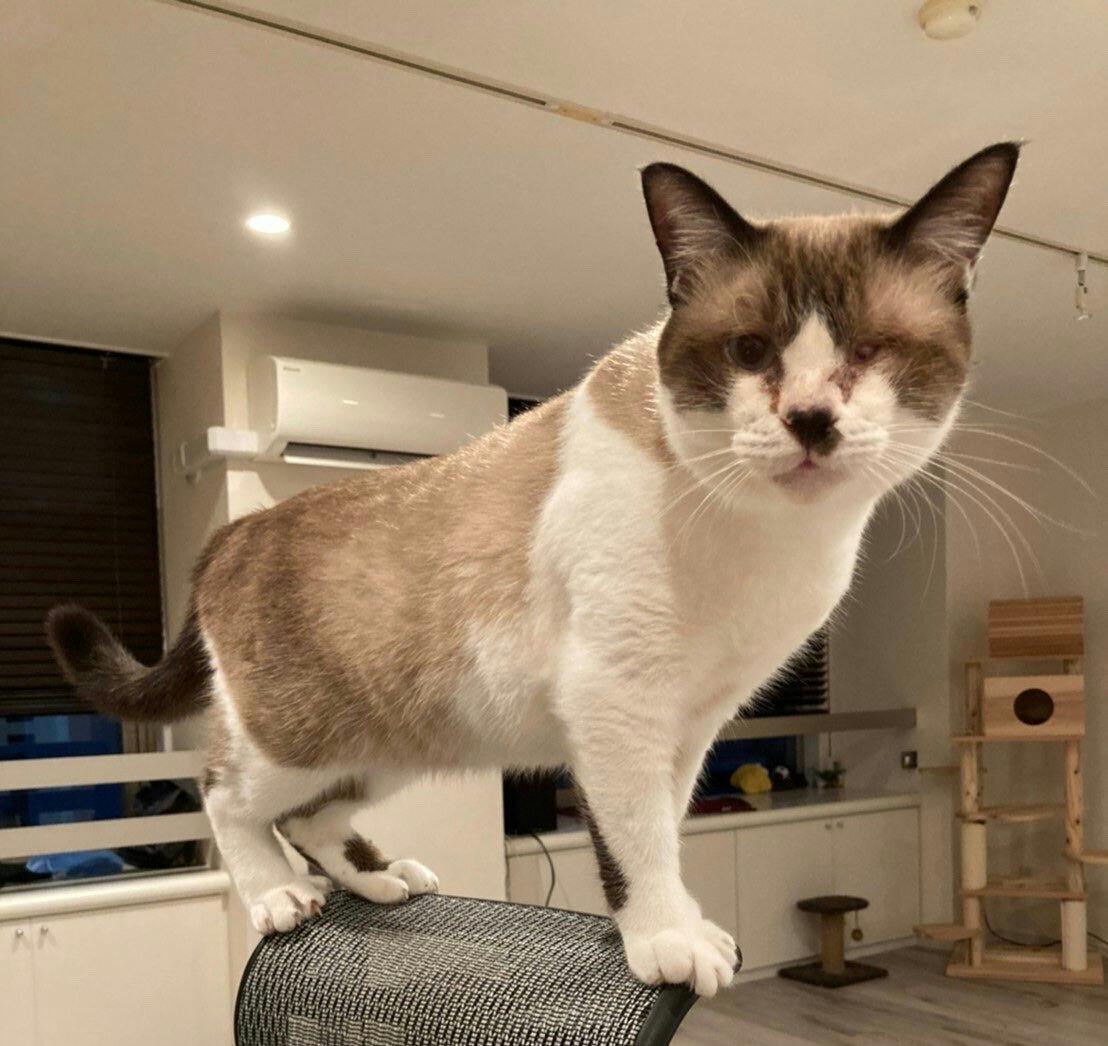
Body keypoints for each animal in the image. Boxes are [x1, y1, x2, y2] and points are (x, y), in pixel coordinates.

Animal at [47, 142, 1018, 997]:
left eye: (872, 350)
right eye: (749, 351)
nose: (812, 420)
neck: (771, 538)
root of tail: (234, 531)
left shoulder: (694, 720)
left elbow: (665, 827)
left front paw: (678, 925)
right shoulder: (618, 702)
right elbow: (635, 841)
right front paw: (667, 943)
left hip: (391, 739)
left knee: (313, 816)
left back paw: (380, 883)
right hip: (299, 733)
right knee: (228, 795)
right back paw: (281, 896)